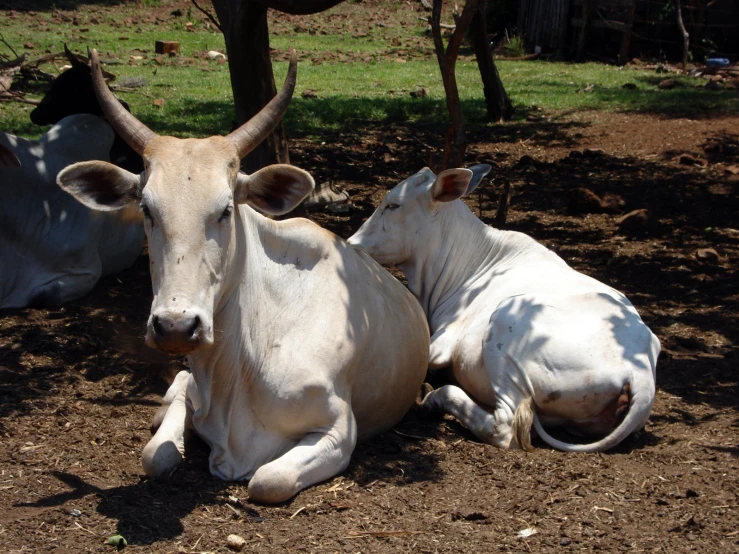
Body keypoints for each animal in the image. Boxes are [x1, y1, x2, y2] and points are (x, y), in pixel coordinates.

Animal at [57, 49, 430, 502]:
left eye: (226, 209)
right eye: (146, 208)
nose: (176, 326)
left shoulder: (339, 429)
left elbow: (268, 481)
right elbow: (155, 455)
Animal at [350, 166, 660, 450]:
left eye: (393, 205)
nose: (352, 242)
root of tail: (640, 371)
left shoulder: (442, 344)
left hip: (505, 324)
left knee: (506, 428)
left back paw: (436, 399)